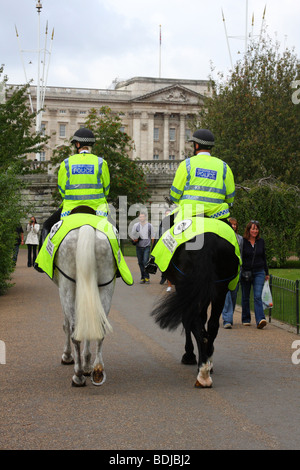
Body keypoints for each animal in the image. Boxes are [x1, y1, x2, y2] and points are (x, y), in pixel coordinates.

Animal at [53, 226, 115, 388]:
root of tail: (87, 227)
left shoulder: (62, 289)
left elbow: (66, 326)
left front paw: (67, 356)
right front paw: (87, 365)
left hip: (67, 287)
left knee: (74, 331)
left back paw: (78, 375)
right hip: (105, 286)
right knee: (99, 328)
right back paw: (97, 370)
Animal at [151, 232, 240, 390]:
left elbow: (189, 321)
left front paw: (190, 354)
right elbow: (205, 320)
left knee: (193, 321)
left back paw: (202, 372)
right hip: (219, 290)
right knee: (212, 324)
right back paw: (207, 361)